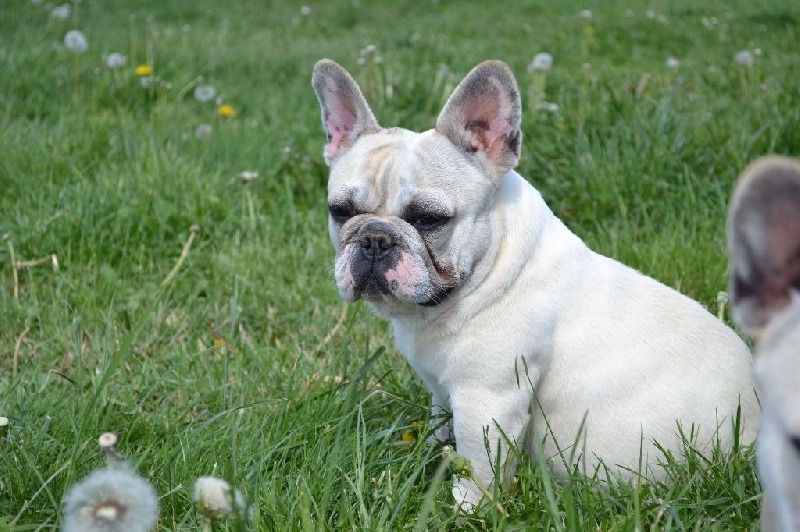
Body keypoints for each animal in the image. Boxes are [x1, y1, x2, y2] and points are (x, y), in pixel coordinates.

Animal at [310, 58, 756, 512]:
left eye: (428, 219)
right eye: (340, 212)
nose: (375, 239)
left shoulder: (487, 403)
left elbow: (477, 468)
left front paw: (466, 510)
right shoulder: (441, 391)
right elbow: (440, 427)